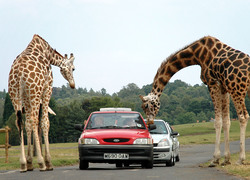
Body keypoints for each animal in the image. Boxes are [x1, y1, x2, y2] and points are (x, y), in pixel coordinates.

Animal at [8, 34, 75, 172]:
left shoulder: (25, 96)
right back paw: (42, 163)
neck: (48, 53)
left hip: (15, 94)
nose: (73, 84)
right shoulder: (47, 88)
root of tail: (18, 73)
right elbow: (45, 122)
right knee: (35, 120)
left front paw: (29, 162)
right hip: (35, 92)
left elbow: (27, 124)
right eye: (73, 69)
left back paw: (23, 164)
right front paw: (48, 162)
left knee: (19, 122)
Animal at [140, 35, 250, 167]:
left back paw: (241, 159)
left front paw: (215, 159)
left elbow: (218, 122)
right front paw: (226, 159)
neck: (196, 55)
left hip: (237, 89)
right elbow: (226, 121)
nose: (150, 123)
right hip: (240, 89)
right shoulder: (223, 86)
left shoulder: (212, 83)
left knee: (243, 116)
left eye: (146, 106)